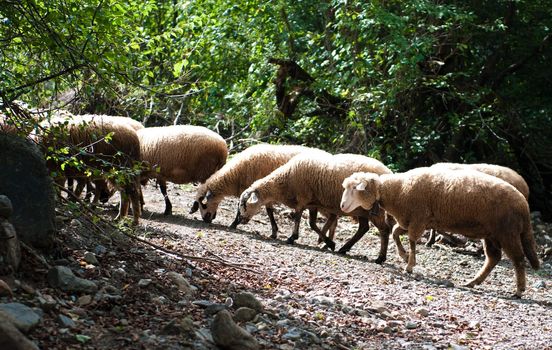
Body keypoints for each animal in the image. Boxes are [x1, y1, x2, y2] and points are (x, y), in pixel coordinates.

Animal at [192, 144, 330, 237]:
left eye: (203, 204)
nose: (206, 220)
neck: (235, 175)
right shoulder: (263, 193)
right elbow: (269, 212)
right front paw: (274, 232)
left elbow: (243, 208)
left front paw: (234, 223)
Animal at [235, 151, 394, 262]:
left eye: (244, 204)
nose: (240, 220)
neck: (285, 182)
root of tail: (389, 172)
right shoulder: (312, 203)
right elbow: (312, 224)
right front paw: (329, 243)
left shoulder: (302, 198)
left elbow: (298, 218)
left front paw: (292, 237)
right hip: (361, 210)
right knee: (363, 228)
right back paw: (344, 248)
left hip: (374, 210)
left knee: (384, 230)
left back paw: (380, 258)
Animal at [340, 168, 540, 296]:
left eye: (354, 188)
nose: (342, 206)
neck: (397, 190)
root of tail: (524, 204)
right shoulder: (408, 219)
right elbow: (396, 233)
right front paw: (404, 256)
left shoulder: (418, 218)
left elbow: (412, 240)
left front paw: (409, 265)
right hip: (491, 234)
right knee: (493, 258)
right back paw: (473, 282)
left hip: (507, 232)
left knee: (518, 259)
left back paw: (519, 290)